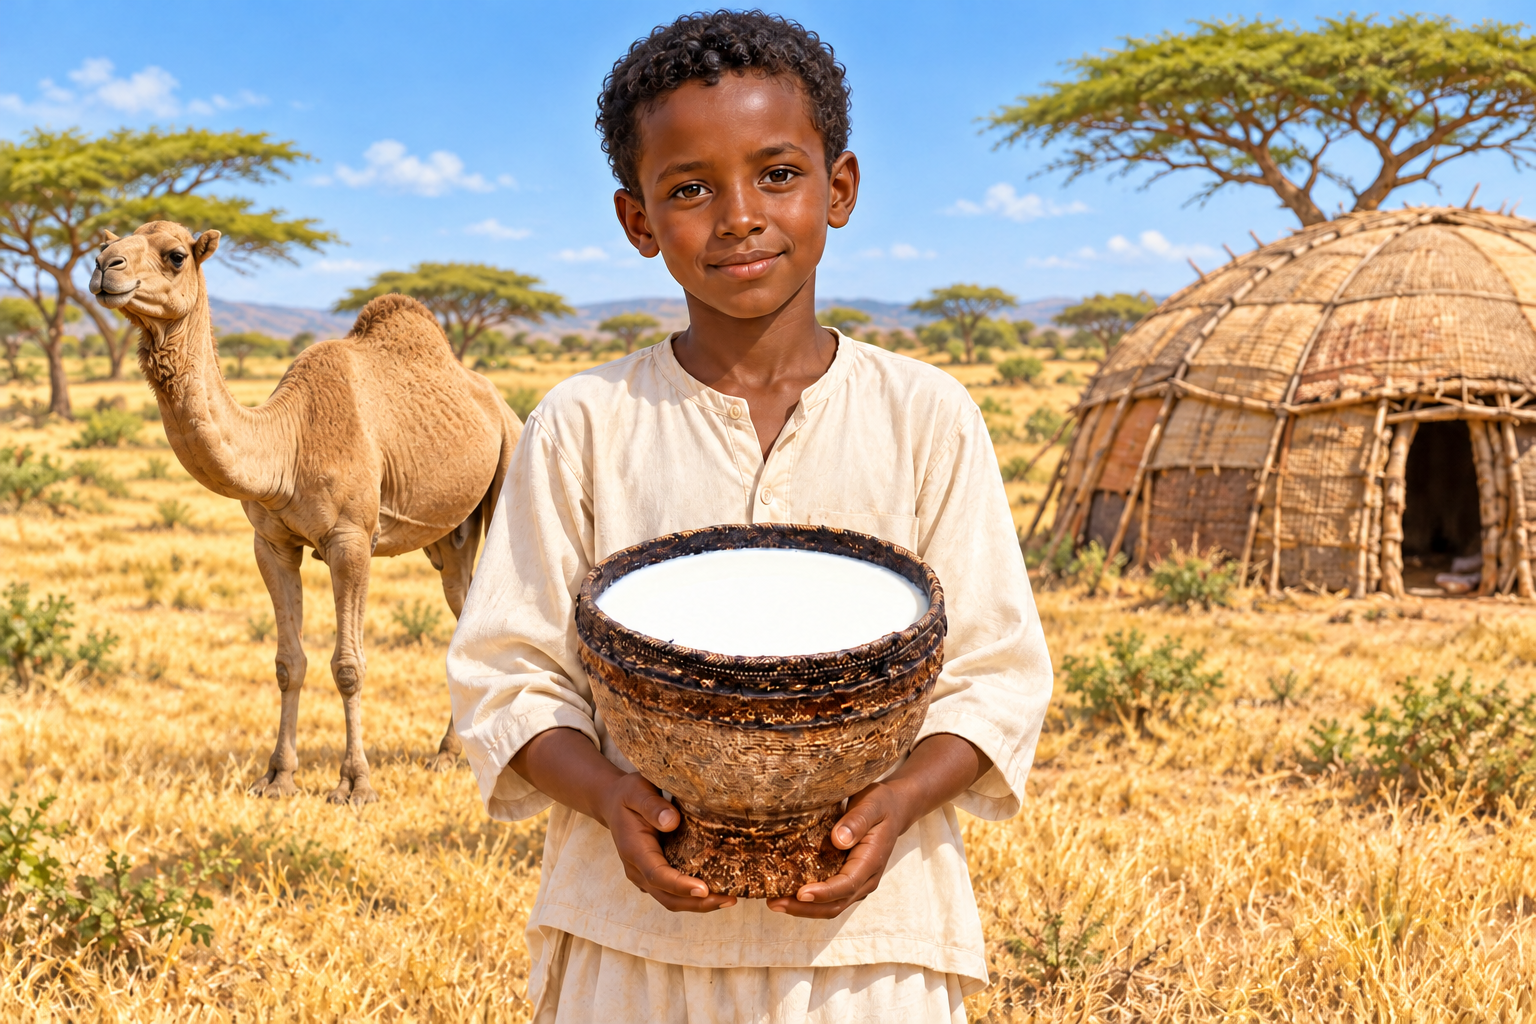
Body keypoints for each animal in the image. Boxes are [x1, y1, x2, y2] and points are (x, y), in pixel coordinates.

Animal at [90, 221, 522, 805]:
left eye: (176, 256)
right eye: (104, 245)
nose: (104, 268)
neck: (287, 444)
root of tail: (498, 402)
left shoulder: (351, 539)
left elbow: (348, 665)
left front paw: (355, 784)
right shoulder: (271, 543)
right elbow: (288, 662)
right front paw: (277, 777)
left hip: (510, 460)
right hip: (450, 534)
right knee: (463, 605)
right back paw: (448, 754)